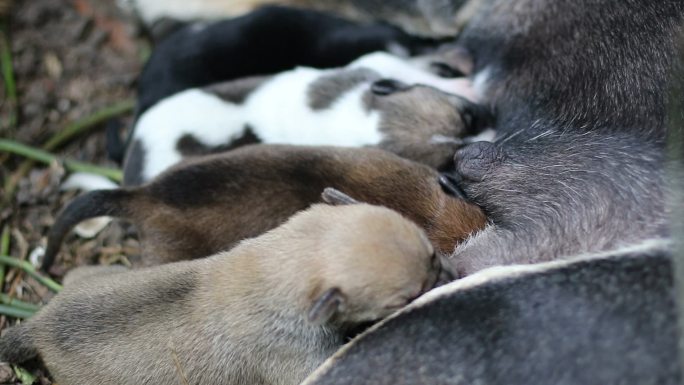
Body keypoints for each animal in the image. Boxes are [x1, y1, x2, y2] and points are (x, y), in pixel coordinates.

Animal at [0, 204, 438, 384]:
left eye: (429, 248)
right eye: (404, 299)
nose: (443, 270)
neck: (280, 265)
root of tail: (38, 324)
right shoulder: (298, 362)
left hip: (96, 273)